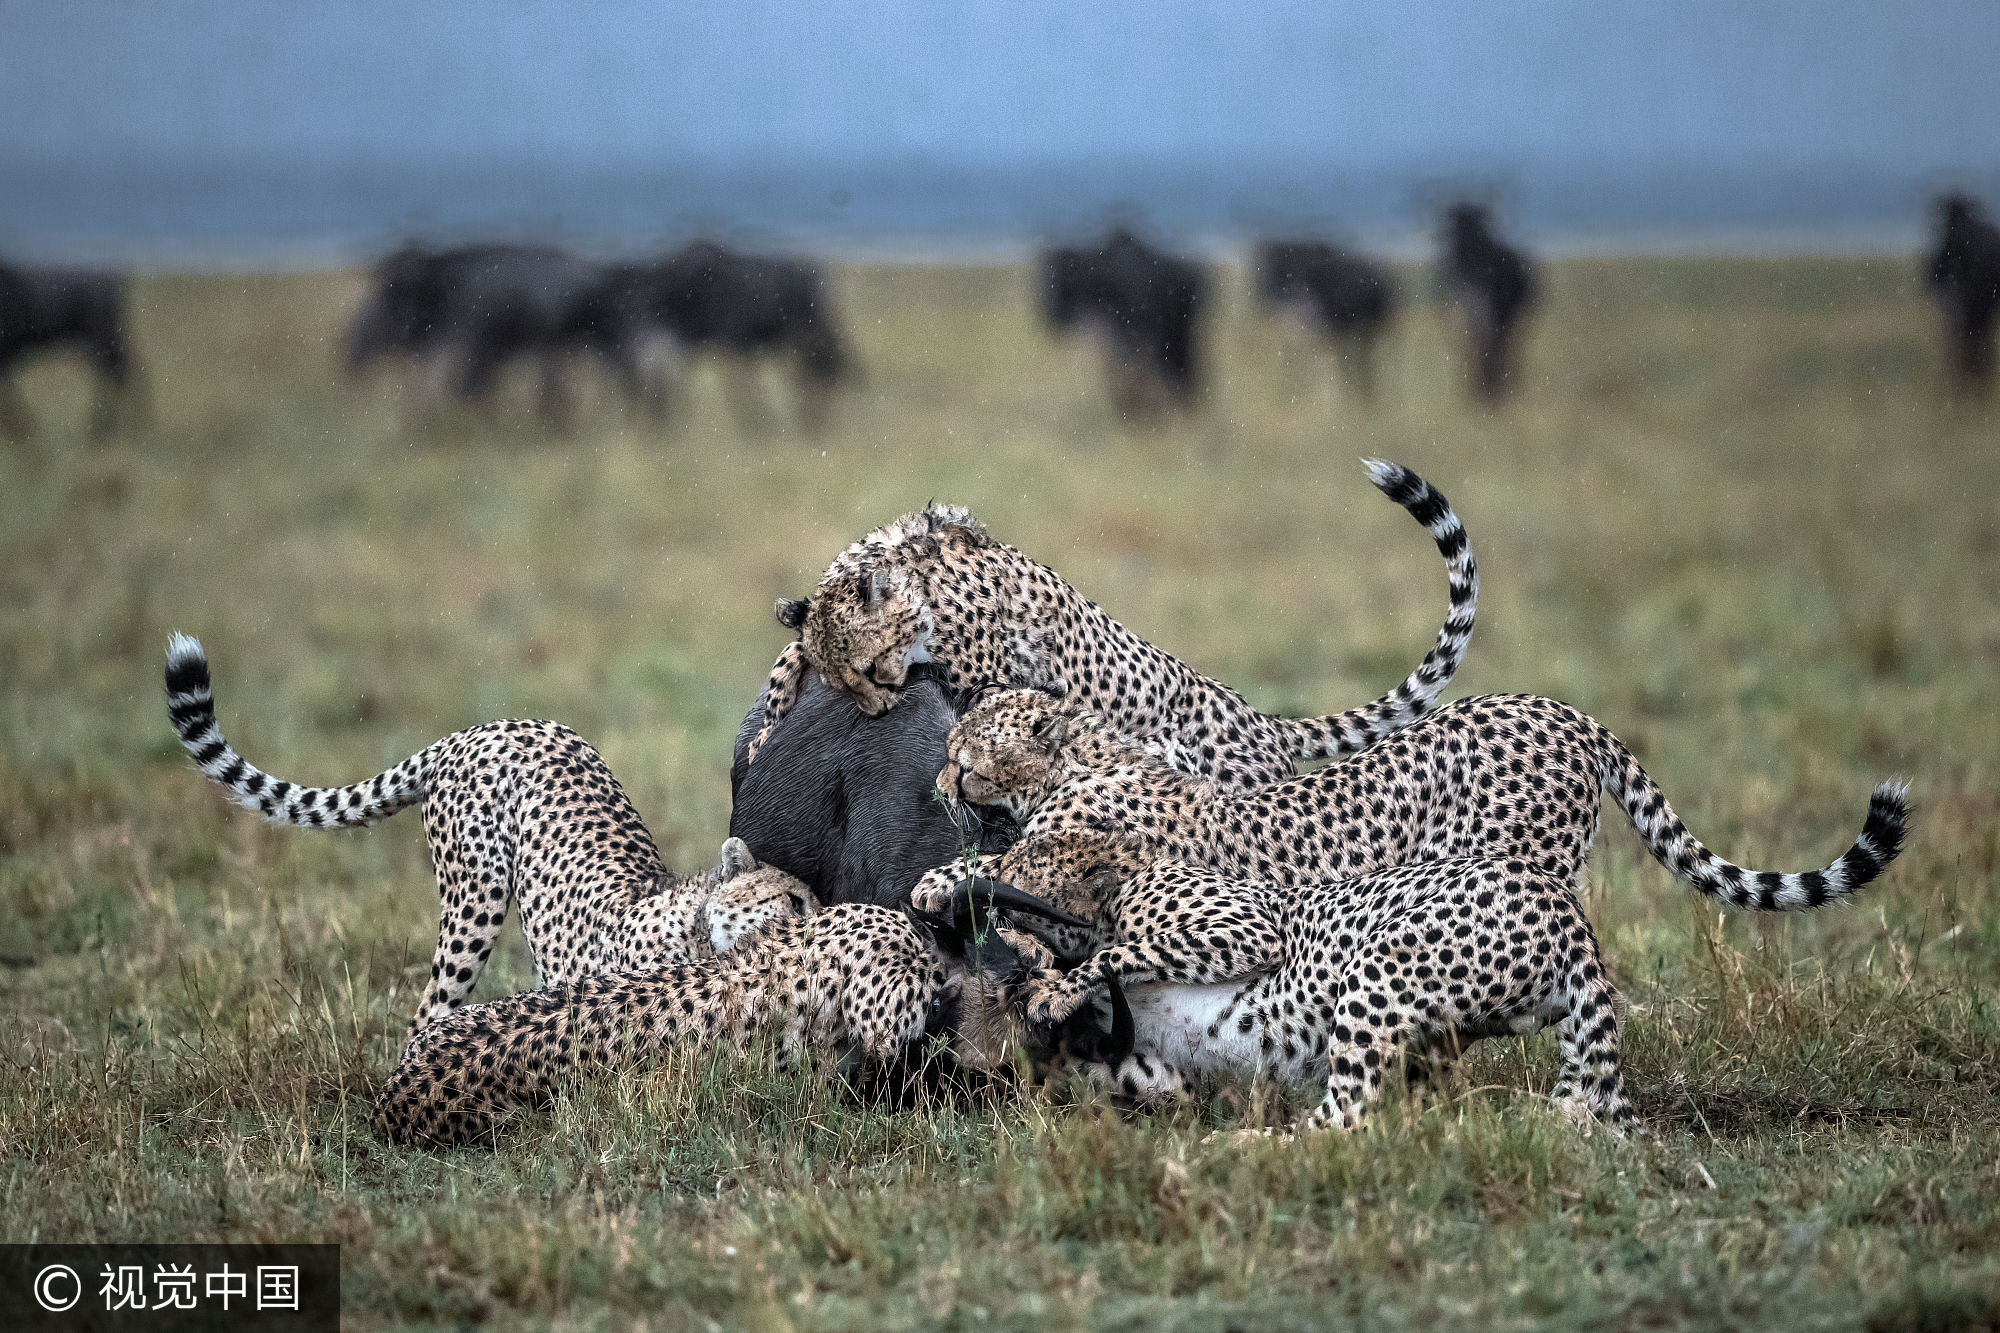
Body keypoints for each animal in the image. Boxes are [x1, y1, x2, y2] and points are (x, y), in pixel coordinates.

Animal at [164, 628, 816, 1032]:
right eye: (793, 900)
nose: (818, 919)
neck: (701, 935)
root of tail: (486, 728)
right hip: (473, 904)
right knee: (427, 1009)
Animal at [744, 456, 1480, 788]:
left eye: (872, 669)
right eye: (845, 685)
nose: (877, 708)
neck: (919, 580)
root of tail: (1261, 720)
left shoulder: (982, 672)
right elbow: (793, 651)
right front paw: (770, 724)